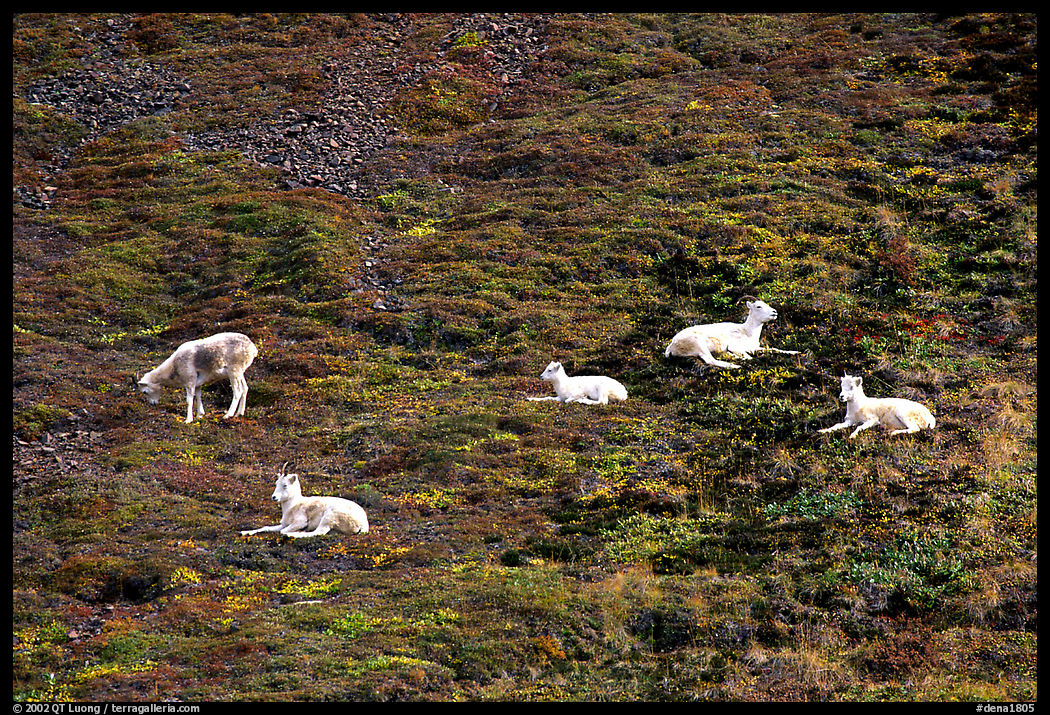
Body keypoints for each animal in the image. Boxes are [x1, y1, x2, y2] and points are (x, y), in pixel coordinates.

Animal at [240, 464, 369, 538]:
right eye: (276, 484)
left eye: (285, 485)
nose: (274, 497)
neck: (292, 506)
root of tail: (363, 524)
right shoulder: (284, 524)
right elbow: (265, 527)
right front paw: (245, 532)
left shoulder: (299, 522)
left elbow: (282, 531)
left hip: (329, 516)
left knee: (318, 532)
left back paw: (291, 535)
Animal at [663, 298, 799, 369]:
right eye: (759, 306)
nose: (774, 312)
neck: (747, 332)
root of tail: (671, 346)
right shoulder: (735, 347)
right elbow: (749, 357)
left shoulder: (755, 347)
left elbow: (774, 349)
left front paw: (795, 352)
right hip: (699, 344)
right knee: (711, 360)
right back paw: (735, 366)